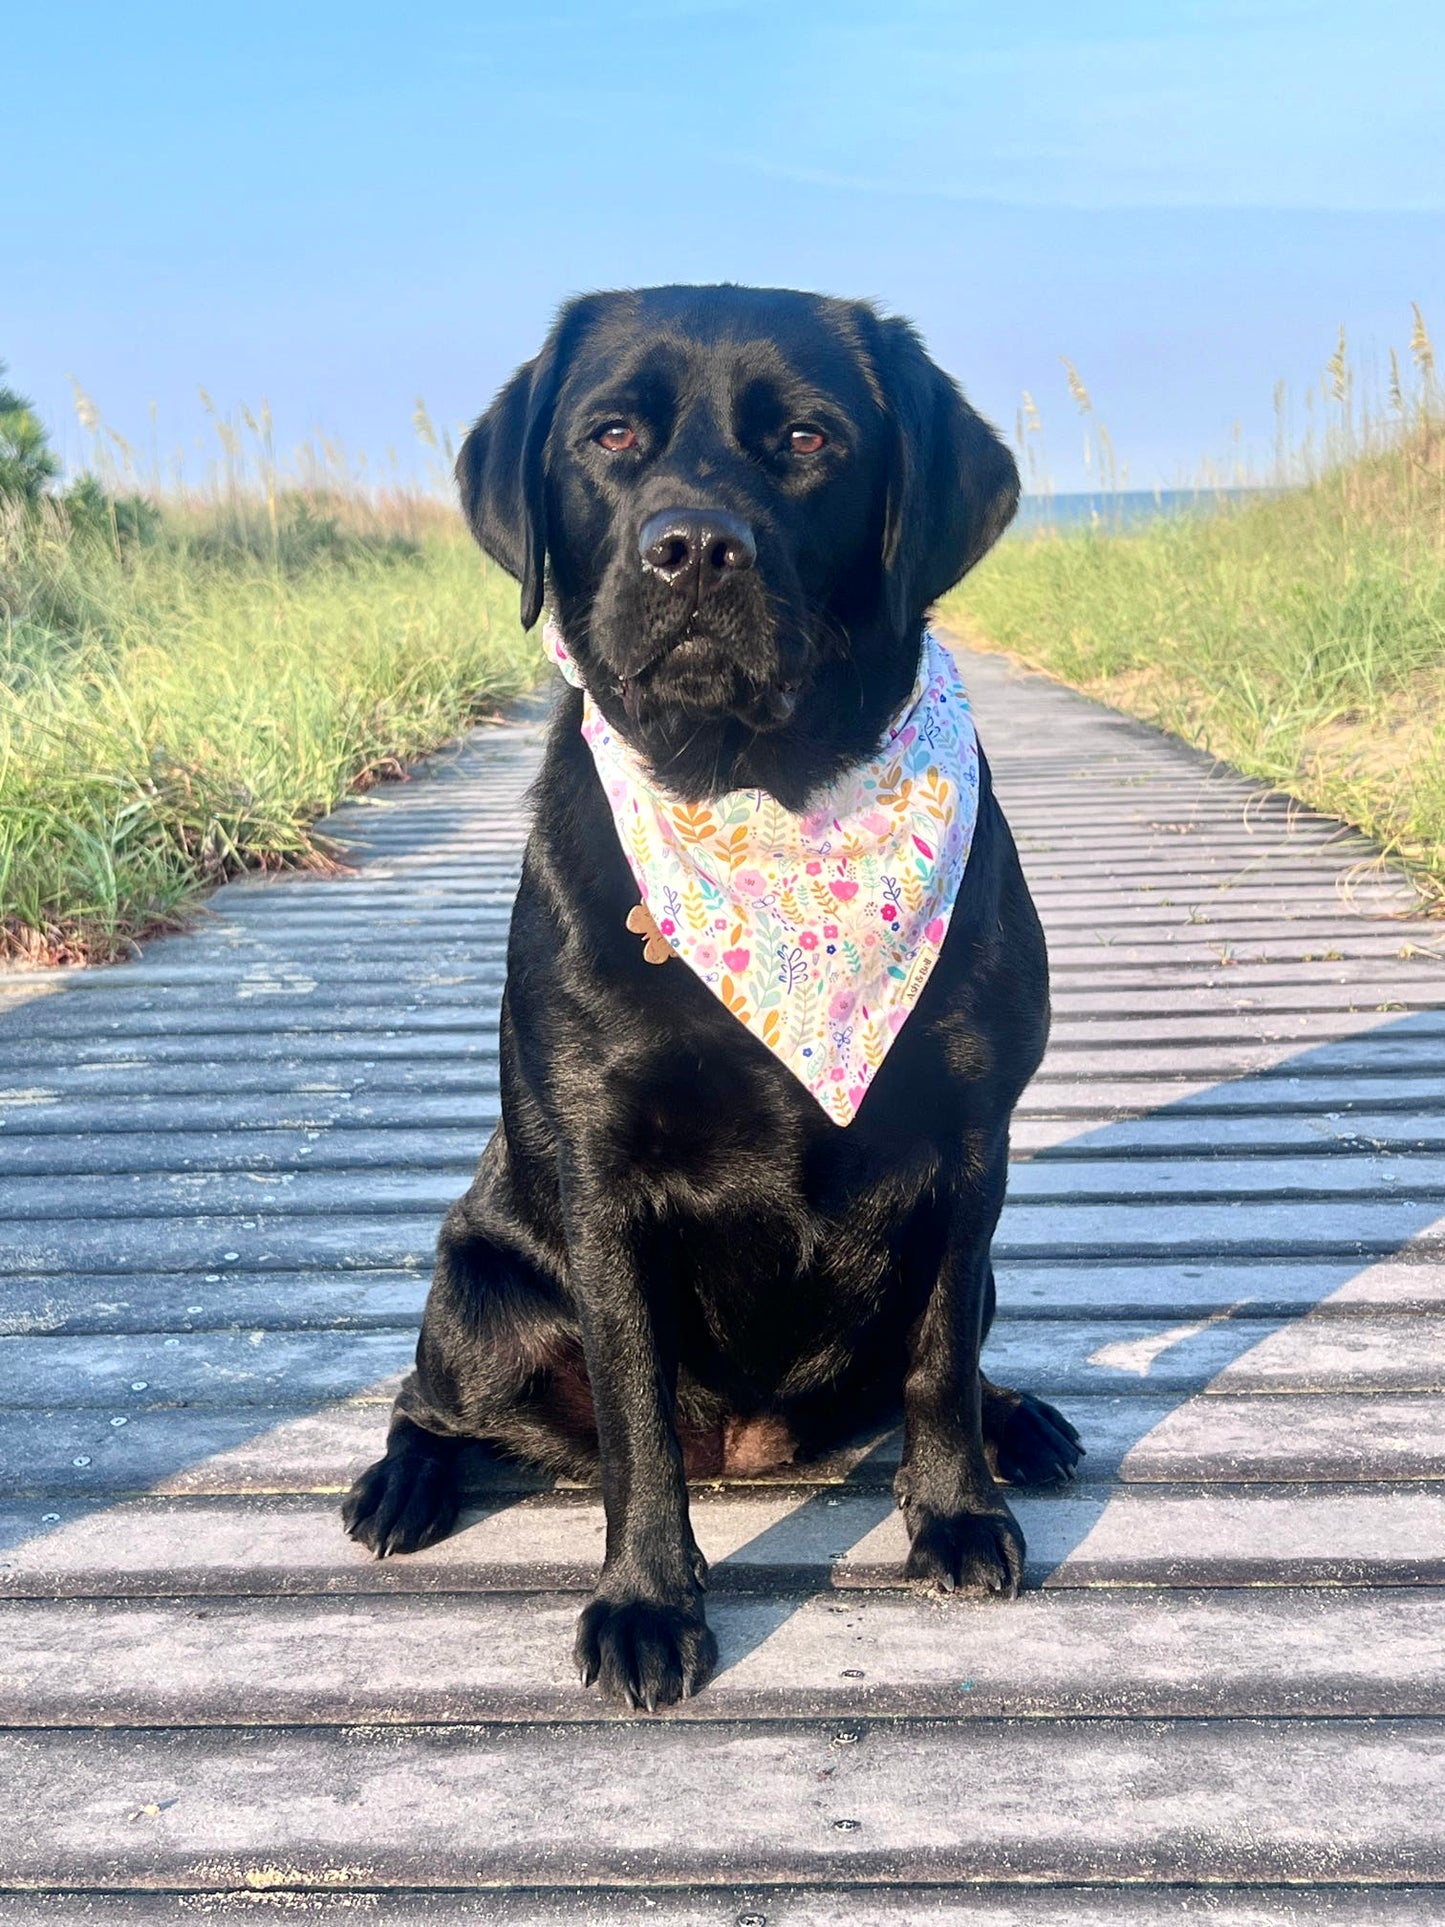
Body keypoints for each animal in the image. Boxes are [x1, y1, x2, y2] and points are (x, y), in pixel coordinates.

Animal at [344, 281, 1078, 1703]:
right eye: (611, 435)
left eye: (805, 439)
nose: (690, 547)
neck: (758, 792)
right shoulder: (603, 1181)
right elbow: (635, 1421)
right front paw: (645, 1602)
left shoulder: (972, 1144)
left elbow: (939, 1357)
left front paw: (956, 1509)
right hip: (481, 1303)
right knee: (426, 1403)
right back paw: (400, 1486)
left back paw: (1021, 1423)